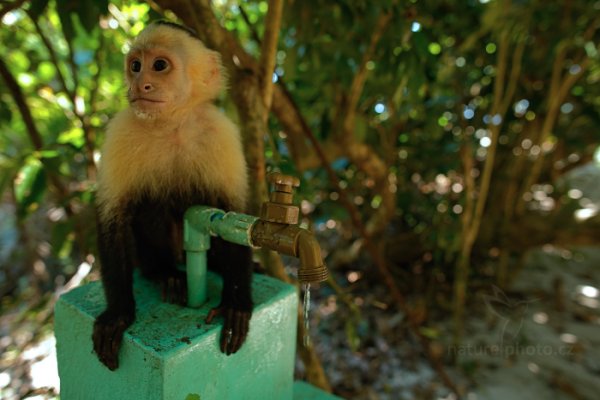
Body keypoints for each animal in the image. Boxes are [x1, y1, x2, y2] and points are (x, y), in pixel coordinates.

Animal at [92, 21, 252, 372]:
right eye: (135, 66)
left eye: (160, 65)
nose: (141, 83)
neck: (172, 124)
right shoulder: (121, 131)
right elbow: (112, 217)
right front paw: (118, 315)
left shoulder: (221, 132)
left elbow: (232, 210)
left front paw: (236, 304)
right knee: (152, 206)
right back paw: (165, 274)